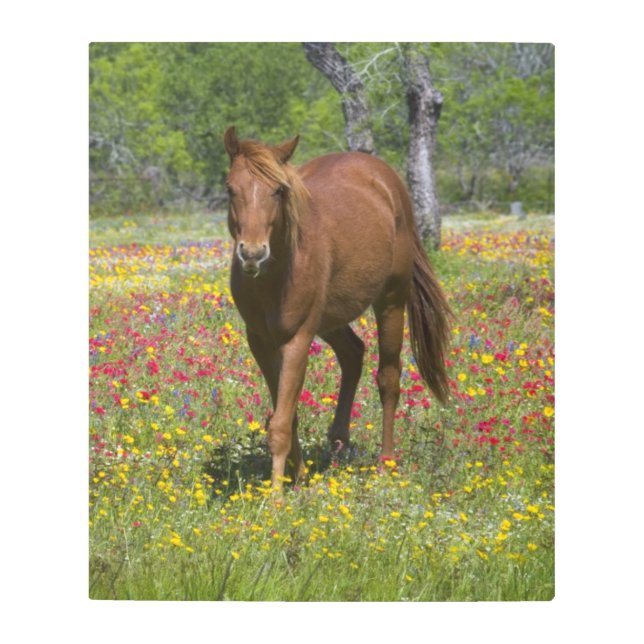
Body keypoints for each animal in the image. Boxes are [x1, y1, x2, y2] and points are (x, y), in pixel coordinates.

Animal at [223, 127, 452, 490]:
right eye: (230, 189)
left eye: (278, 190)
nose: (253, 253)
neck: (276, 275)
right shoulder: (260, 342)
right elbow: (287, 415)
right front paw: (298, 477)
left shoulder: (297, 341)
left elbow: (280, 424)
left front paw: (276, 496)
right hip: (330, 319)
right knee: (353, 353)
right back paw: (339, 438)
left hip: (390, 302)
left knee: (389, 378)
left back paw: (386, 463)